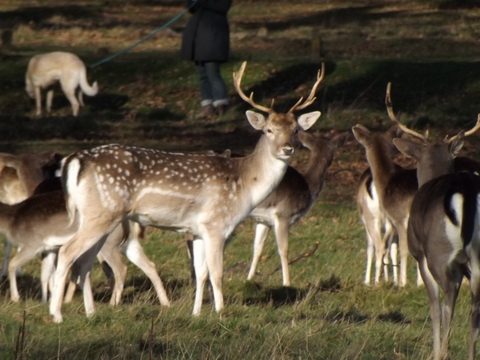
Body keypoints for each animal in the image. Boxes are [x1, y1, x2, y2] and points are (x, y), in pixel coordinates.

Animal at [48, 60, 324, 322]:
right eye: (269, 130)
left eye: (296, 129)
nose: (287, 149)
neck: (244, 185)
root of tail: (75, 160)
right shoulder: (215, 225)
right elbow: (216, 273)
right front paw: (220, 313)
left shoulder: (198, 230)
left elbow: (200, 273)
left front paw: (196, 313)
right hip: (102, 213)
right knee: (67, 252)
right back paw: (57, 315)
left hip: (96, 217)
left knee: (84, 262)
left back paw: (90, 313)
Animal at [248, 131, 344, 286]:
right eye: (333, 153)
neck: (308, 187)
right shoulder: (283, 214)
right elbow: (283, 249)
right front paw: (287, 283)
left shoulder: (263, 220)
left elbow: (257, 248)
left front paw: (249, 279)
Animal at [390, 113, 480, 360]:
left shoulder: (420, 255)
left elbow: (434, 306)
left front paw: (436, 351)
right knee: (474, 306)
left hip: (439, 253)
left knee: (448, 298)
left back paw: (444, 353)